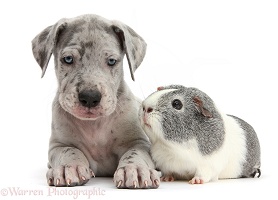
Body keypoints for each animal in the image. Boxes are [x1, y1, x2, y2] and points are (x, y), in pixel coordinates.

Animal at [31, 14, 160, 189]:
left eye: (111, 61)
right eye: (68, 59)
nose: (90, 97)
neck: (94, 125)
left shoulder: (140, 142)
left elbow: (135, 153)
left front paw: (135, 169)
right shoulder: (58, 145)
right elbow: (69, 151)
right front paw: (69, 167)